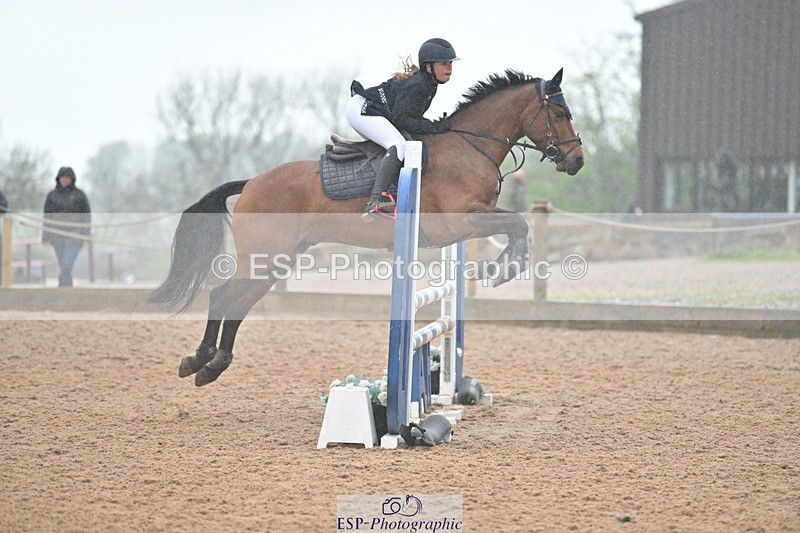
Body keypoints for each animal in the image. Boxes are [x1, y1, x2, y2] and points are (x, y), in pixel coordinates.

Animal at [148, 68, 584, 387]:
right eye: (560, 114)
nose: (576, 161)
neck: (469, 145)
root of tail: (252, 182)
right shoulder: (459, 221)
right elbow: (518, 223)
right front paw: (503, 269)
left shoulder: (470, 221)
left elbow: (516, 224)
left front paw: (506, 267)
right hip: (266, 255)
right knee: (223, 295)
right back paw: (201, 362)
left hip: (277, 260)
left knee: (238, 301)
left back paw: (212, 363)